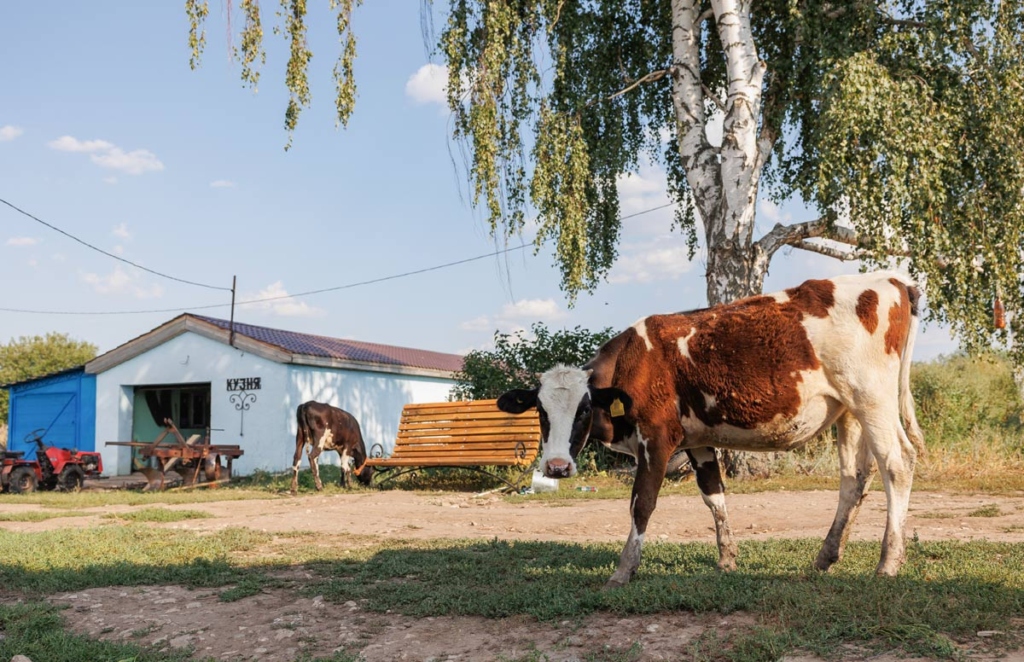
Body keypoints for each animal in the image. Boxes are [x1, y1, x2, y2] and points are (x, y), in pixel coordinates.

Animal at [497, 271, 924, 587]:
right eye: (541, 411)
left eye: (584, 410)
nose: (555, 467)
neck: (634, 365)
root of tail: (892, 280)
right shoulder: (697, 442)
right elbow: (714, 496)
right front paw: (727, 559)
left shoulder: (656, 439)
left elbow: (641, 504)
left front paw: (623, 570)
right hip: (850, 412)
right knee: (854, 478)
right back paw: (826, 556)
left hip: (872, 398)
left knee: (897, 463)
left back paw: (888, 562)